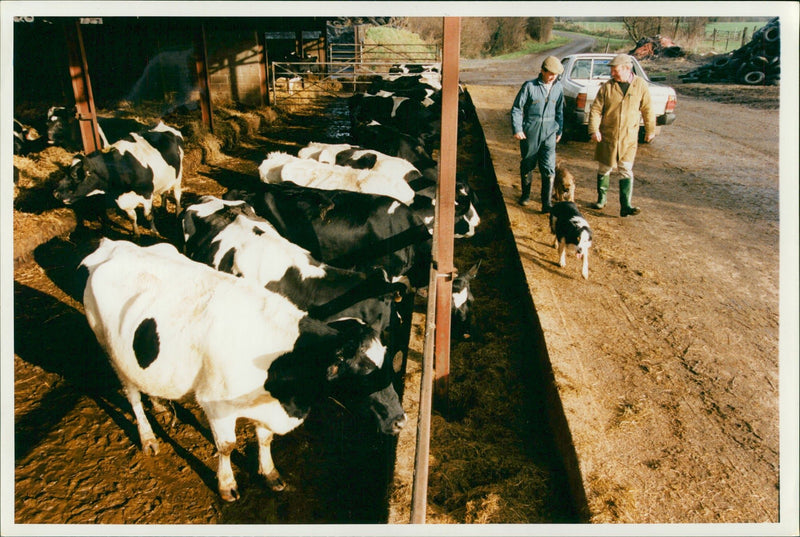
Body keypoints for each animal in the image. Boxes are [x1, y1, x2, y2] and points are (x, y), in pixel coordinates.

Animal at [81, 237, 406, 500]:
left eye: (385, 363)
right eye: (363, 371)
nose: (401, 421)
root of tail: (112, 245)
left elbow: (265, 439)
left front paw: (271, 474)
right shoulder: (215, 404)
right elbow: (226, 445)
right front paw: (227, 485)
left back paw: (160, 404)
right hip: (109, 347)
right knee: (131, 394)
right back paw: (148, 437)